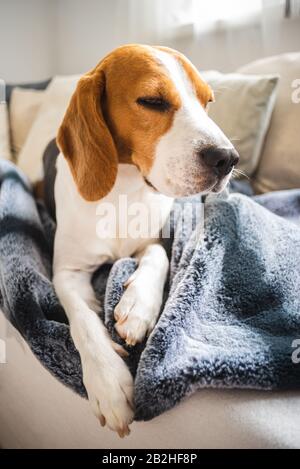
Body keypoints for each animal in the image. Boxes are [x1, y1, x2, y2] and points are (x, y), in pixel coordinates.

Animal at [52, 44, 239, 436]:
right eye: (152, 101)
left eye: (207, 101)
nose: (228, 158)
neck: (123, 189)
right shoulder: (66, 273)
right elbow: (83, 320)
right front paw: (108, 380)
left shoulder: (152, 241)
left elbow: (158, 258)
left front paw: (139, 306)